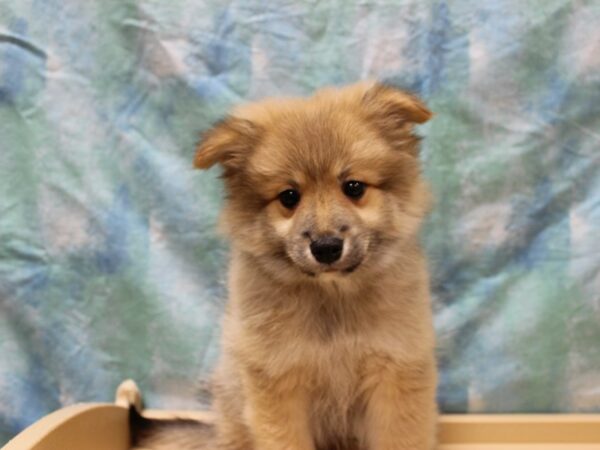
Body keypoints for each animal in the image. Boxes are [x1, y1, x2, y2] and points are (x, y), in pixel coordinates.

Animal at [135, 81, 436, 450]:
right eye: (289, 197)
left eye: (353, 187)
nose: (326, 247)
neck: (332, 303)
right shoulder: (279, 382)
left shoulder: (395, 373)